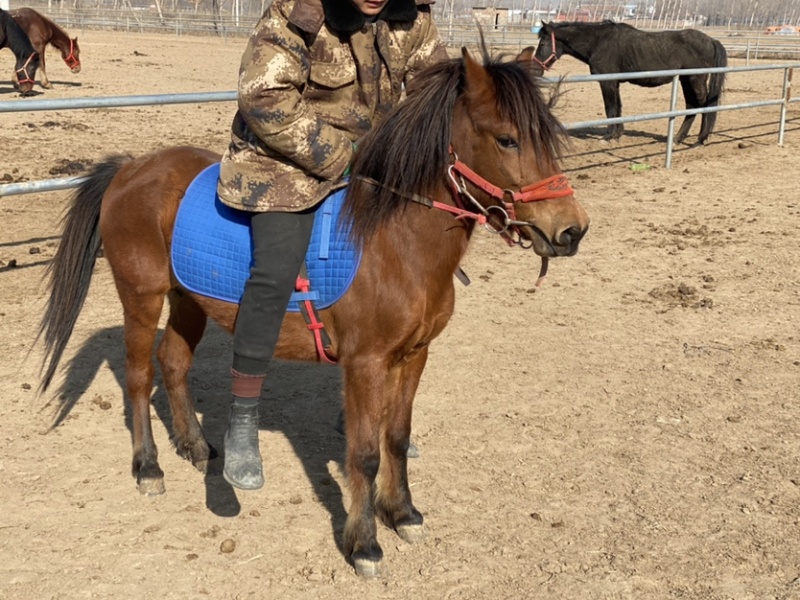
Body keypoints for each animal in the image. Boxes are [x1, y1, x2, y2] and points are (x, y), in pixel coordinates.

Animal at [36, 47, 589, 577]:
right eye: (507, 140)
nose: (572, 230)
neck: (394, 243)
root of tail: (131, 167)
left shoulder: (414, 357)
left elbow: (397, 437)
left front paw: (403, 513)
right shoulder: (365, 365)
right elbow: (364, 455)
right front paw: (364, 543)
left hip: (188, 298)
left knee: (173, 362)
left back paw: (195, 447)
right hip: (141, 297)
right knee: (137, 377)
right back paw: (149, 467)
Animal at [532, 20, 727, 145]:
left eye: (542, 44)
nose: (535, 70)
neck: (599, 42)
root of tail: (711, 40)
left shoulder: (607, 83)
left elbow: (610, 109)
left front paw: (608, 137)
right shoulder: (615, 83)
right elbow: (618, 108)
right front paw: (617, 134)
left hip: (695, 79)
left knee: (704, 106)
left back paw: (700, 139)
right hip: (687, 80)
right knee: (691, 106)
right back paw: (678, 138)